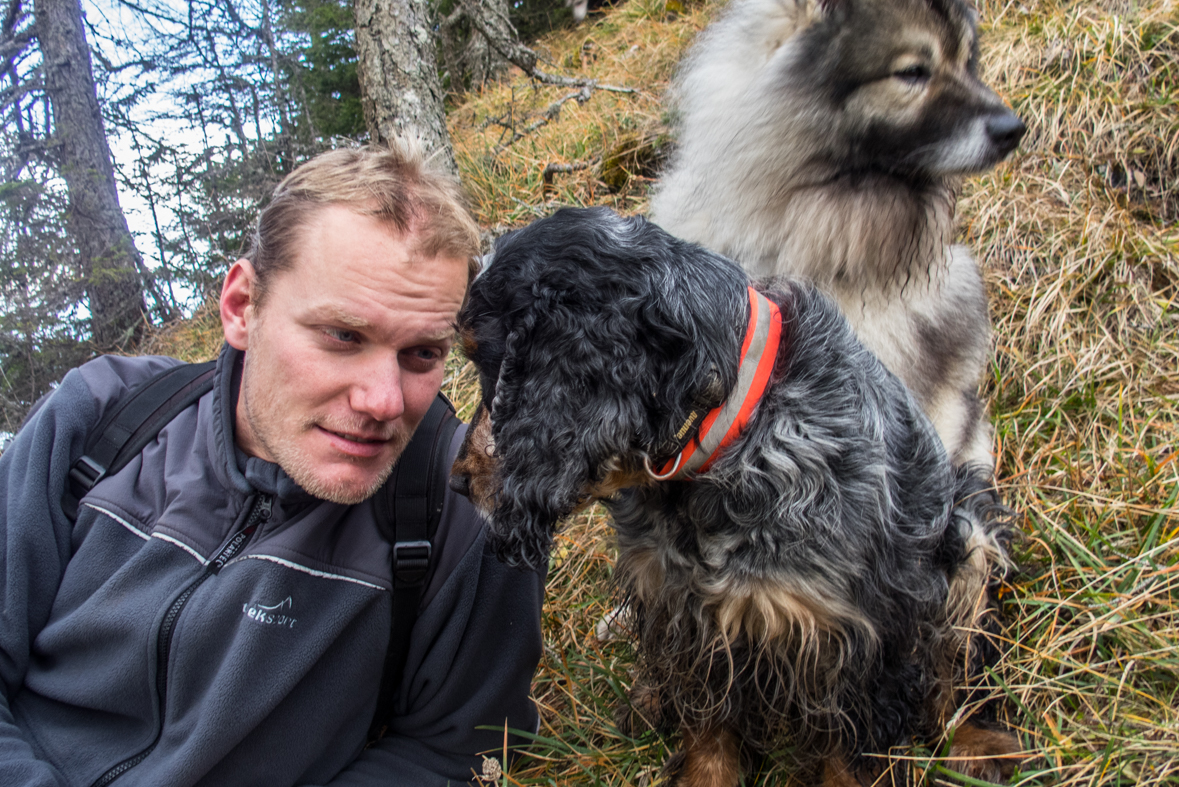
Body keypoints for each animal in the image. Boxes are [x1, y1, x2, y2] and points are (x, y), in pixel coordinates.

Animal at [450, 207, 1023, 787]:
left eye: (486, 362)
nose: (456, 480)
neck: (726, 434)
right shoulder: (687, 615)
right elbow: (708, 720)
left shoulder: (853, 643)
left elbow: (847, 749)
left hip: (968, 531)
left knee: (961, 662)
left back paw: (980, 742)